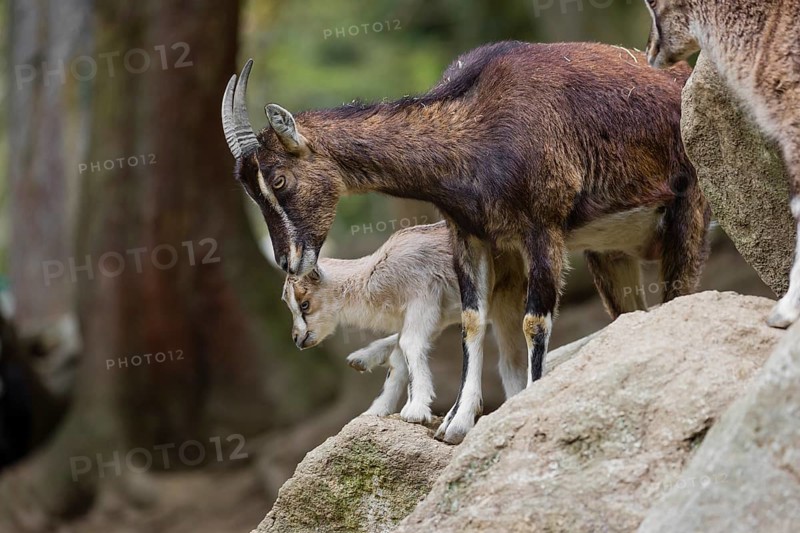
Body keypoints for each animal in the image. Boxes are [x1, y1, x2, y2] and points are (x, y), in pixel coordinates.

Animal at [281, 221, 527, 422]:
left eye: (304, 304)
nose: (298, 339)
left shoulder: (423, 300)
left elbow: (409, 345)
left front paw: (416, 410)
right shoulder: (435, 315)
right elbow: (399, 357)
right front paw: (376, 408)